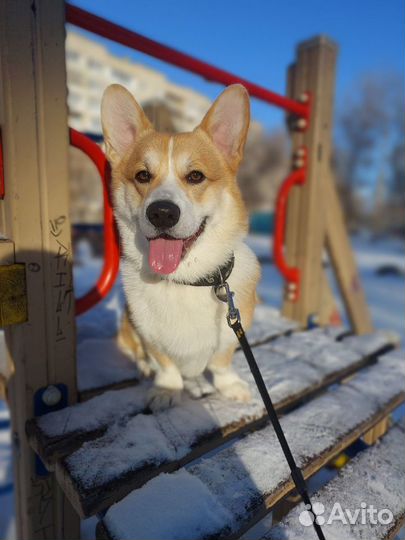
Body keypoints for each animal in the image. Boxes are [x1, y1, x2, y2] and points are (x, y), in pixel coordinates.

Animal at [100, 84, 258, 412]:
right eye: (143, 175)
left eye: (196, 176)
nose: (161, 213)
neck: (187, 280)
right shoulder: (147, 332)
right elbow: (164, 362)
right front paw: (166, 389)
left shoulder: (232, 330)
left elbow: (221, 361)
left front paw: (229, 386)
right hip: (126, 327)